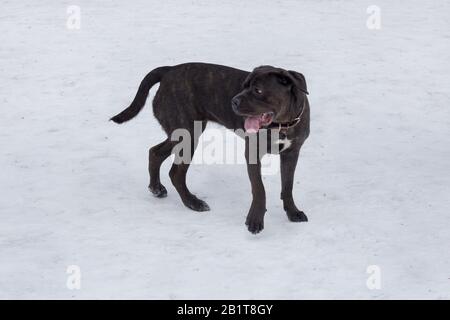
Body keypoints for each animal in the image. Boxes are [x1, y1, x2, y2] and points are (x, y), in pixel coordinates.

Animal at [111, 62, 310, 234]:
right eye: (244, 86)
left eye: (258, 90)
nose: (233, 101)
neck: (283, 125)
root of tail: (169, 70)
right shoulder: (252, 153)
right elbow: (259, 189)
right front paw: (255, 220)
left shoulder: (292, 154)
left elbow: (288, 185)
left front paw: (293, 212)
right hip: (188, 135)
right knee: (175, 173)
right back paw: (193, 202)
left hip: (182, 133)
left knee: (155, 152)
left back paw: (156, 188)